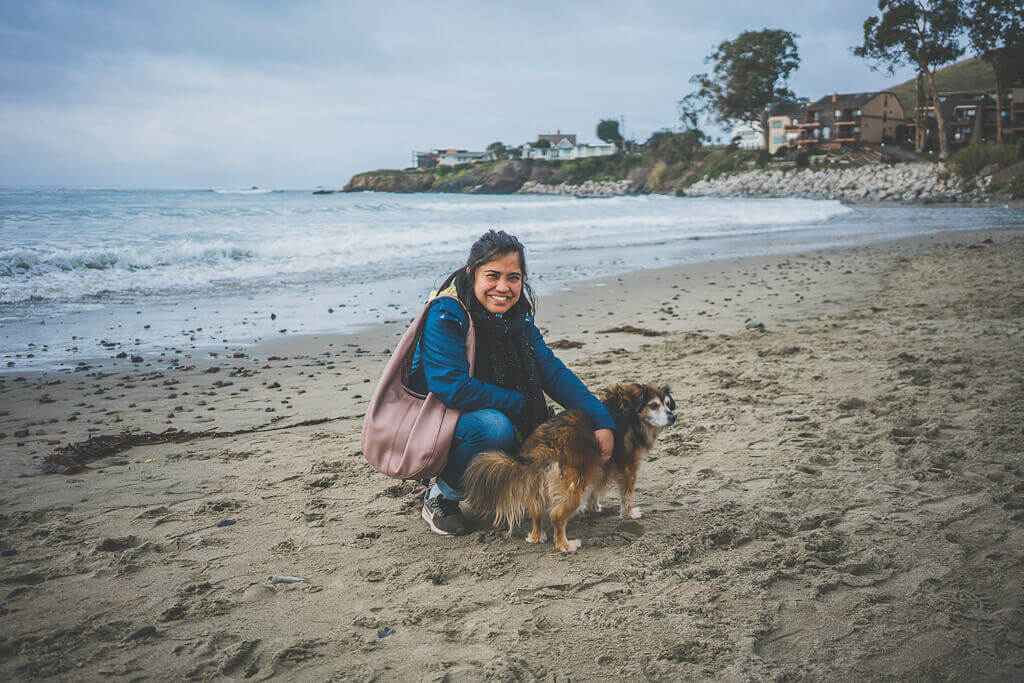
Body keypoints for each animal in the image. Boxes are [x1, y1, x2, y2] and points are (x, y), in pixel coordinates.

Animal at [462, 382, 671, 552]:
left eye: (668, 404)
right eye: (653, 406)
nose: (673, 417)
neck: (628, 413)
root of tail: (545, 445)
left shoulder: (598, 465)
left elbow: (594, 489)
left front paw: (593, 507)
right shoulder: (628, 467)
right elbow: (627, 495)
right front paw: (629, 514)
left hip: (540, 487)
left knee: (537, 512)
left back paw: (537, 537)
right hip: (574, 487)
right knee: (557, 517)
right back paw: (566, 545)